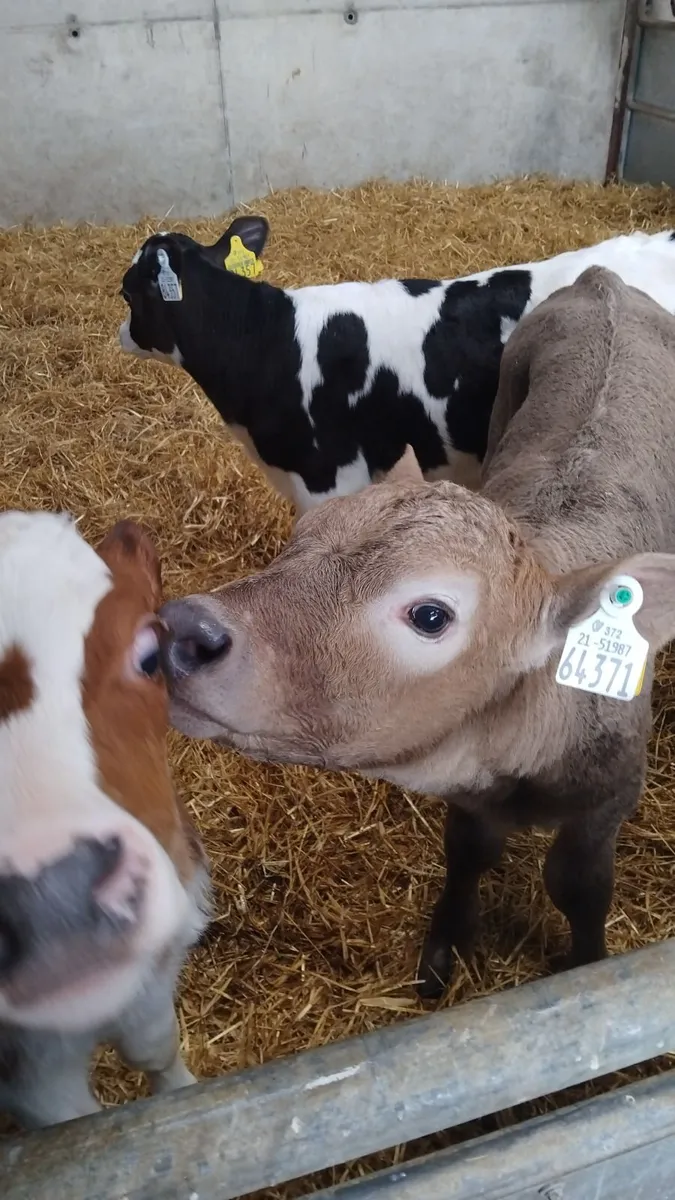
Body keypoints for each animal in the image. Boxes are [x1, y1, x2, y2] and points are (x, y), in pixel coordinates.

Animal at [158, 267, 675, 999]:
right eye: (299, 535)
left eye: (430, 615)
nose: (187, 630)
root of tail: (602, 281)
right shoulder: (469, 793)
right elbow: (467, 852)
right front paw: (441, 952)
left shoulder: (610, 794)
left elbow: (578, 886)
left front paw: (585, 962)